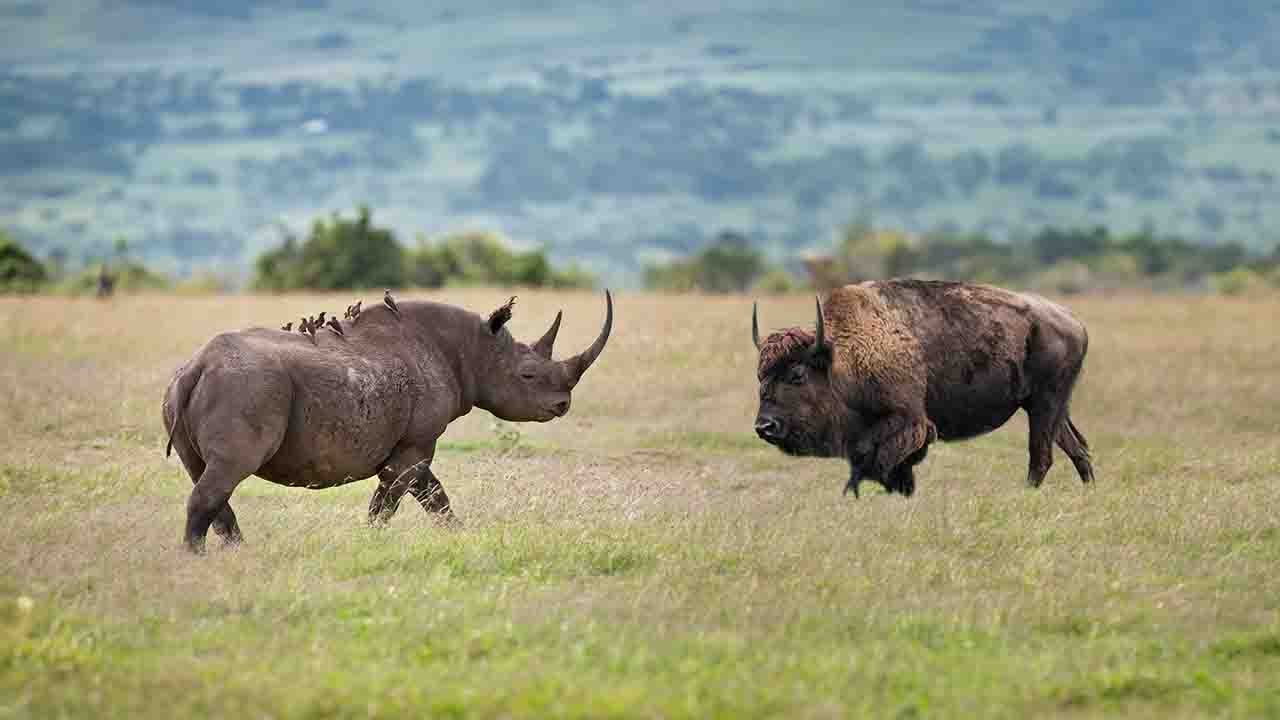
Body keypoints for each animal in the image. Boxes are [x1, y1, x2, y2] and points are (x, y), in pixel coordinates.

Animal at [163, 291, 612, 552]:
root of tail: (198, 365)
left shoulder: (411, 445)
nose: (562, 404)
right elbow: (391, 500)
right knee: (226, 474)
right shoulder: (415, 442)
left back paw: (235, 553)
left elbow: (434, 496)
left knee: (207, 475)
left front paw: (459, 535)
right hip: (246, 388)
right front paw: (372, 542)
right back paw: (197, 558)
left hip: (190, 393)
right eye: (528, 376)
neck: (475, 350)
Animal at [752, 279, 1093, 496]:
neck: (842, 355)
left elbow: (881, 462)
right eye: (760, 376)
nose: (764, 426)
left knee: (1041, 455)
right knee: (1076, 448)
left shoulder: (908, 423)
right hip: (1048, 408)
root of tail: (1075, 322)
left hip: (1045, 404)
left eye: (797, 374)